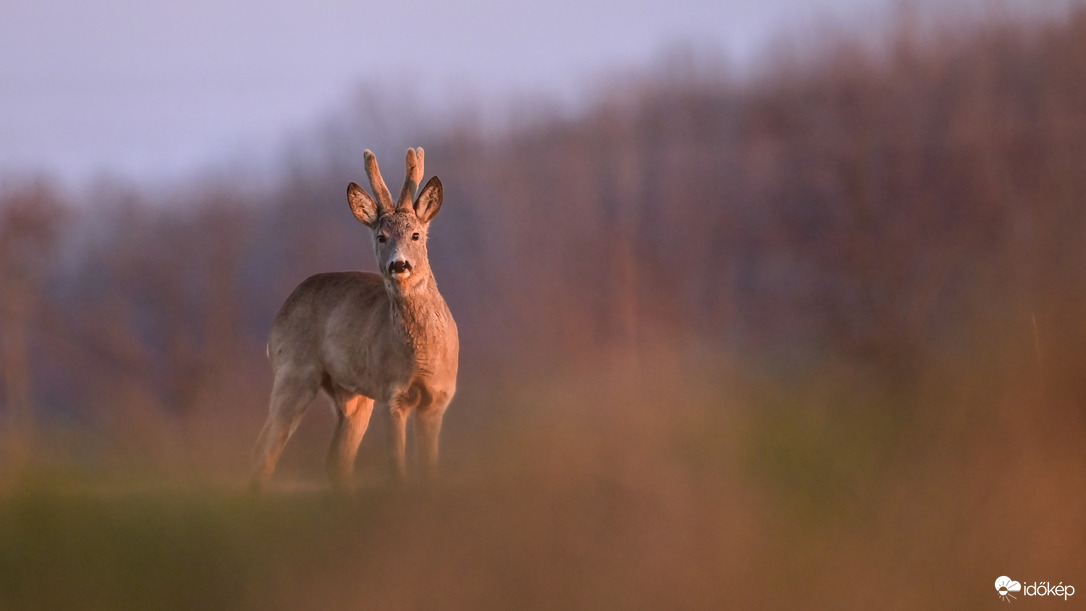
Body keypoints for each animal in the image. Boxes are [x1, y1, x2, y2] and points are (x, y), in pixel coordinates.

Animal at [249, 148, 458, 492]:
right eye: (381, 236)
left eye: (416, 234)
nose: (399, 265)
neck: (423, 356)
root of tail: (285, 306)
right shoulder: (391, 392)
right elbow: (397, 467)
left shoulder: (438, 396)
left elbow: (430, 468)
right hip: (294, 370)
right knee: (265, 448)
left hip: (352, 395)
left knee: (336, 460)